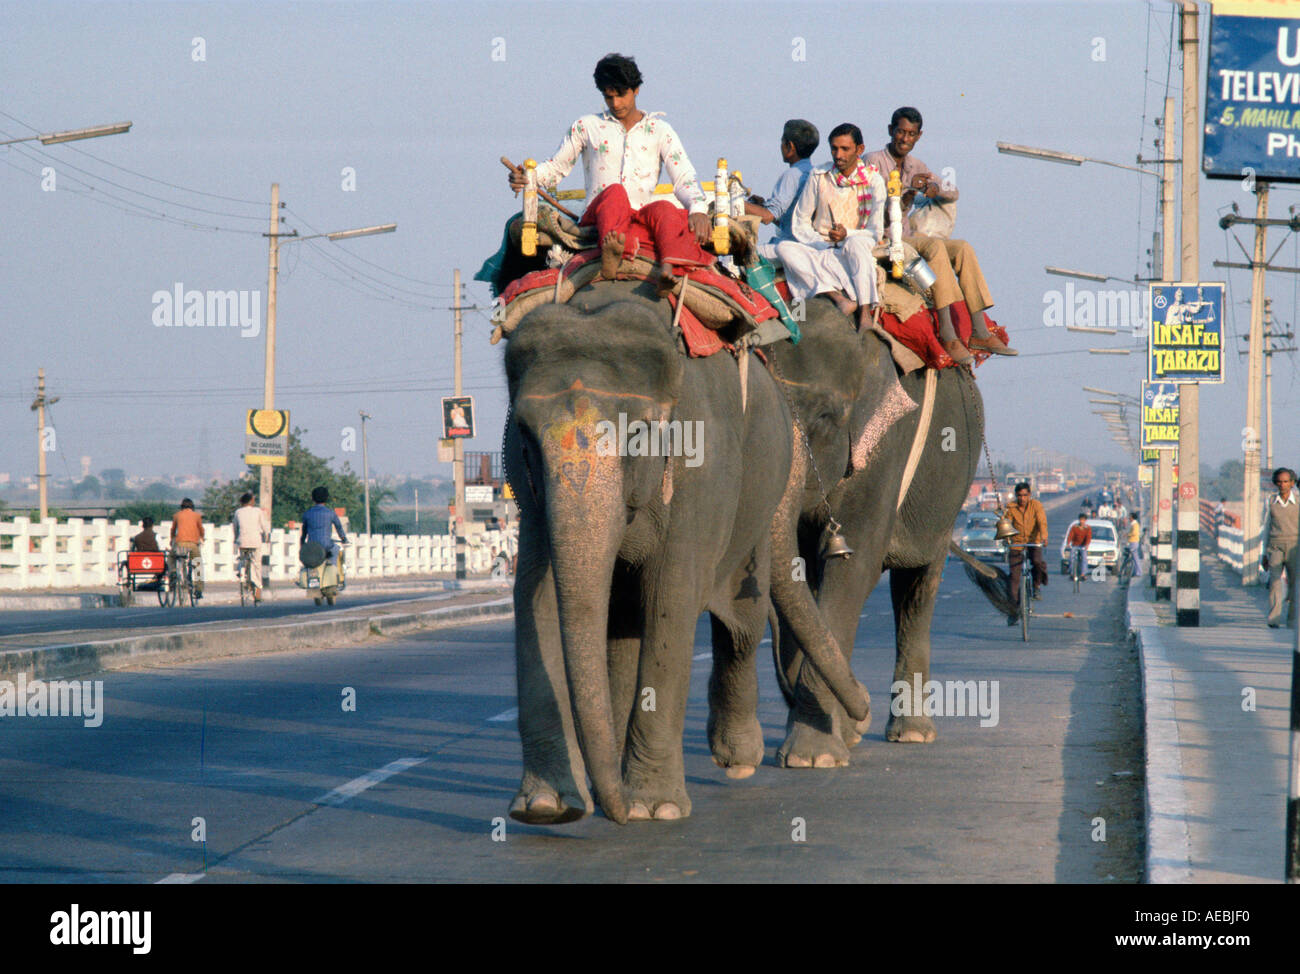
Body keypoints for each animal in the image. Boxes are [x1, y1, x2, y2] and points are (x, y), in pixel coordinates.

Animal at [503, 279, 867, 825]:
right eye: (524, 435)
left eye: (638, 433)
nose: (863, 712)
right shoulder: (531, 498)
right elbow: (535, 597)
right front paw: (548, 808)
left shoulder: (700, 470)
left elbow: (669, 599)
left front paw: (654, 809)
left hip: (755, 493)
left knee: (741, 619)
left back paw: (738, 761)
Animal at [765, 297, 984, 768]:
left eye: (825, 419)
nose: (862, 707)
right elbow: (801, 575)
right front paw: (834, 736)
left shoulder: (889, 444)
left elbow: (855, 565)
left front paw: (812, 757)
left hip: (949, 501)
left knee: (915, 588)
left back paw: (912, 734)